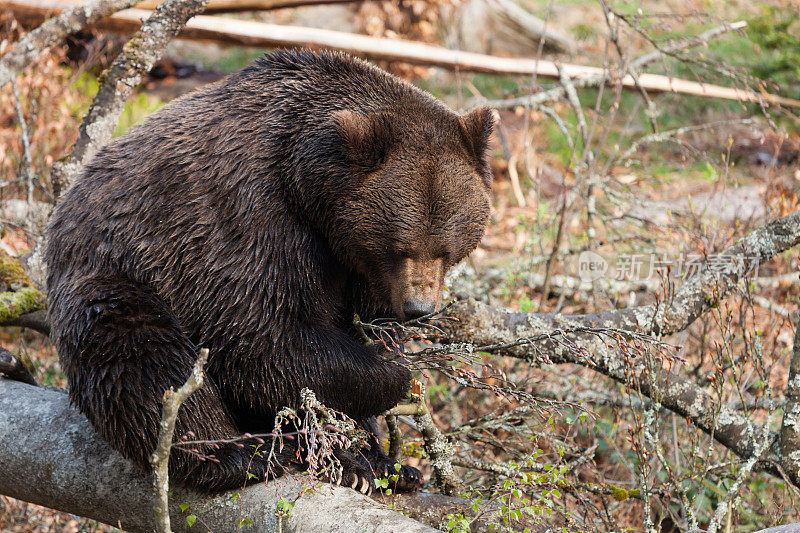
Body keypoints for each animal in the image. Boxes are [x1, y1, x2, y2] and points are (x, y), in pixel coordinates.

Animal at [47, 51, 494, 494]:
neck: (309, 188)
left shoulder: (355, 268)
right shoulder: (251, 215)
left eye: (447, 249)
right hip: (115, 273)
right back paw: (241, 454)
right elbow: (261, 335)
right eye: (401, 247)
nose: (419, 308)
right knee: (144, 358)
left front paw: (373, 458)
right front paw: (393, 382)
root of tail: (63, 210)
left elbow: (355, 330)